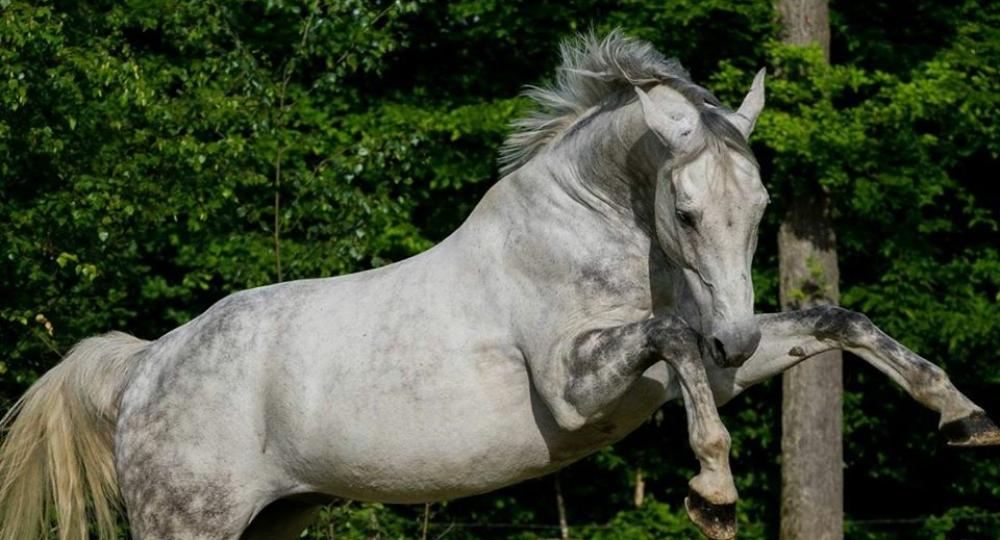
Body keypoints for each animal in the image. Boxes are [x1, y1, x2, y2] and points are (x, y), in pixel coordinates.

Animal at [1, 30, 1000, 540]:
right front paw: (713, 493)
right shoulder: (576, 387)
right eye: (683, 212)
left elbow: (837, 319)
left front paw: (963, 416)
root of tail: (145, 366)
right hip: (190, 526)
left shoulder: (706, 370)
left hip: (273, 524)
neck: (595, 232)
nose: (738, 336)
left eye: (758, 206)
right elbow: (669, 336)